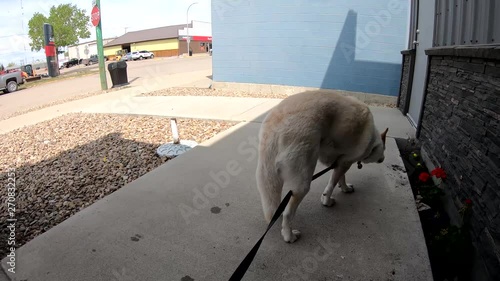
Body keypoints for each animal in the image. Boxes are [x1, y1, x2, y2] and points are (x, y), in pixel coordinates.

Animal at [256, 90, 388, 243]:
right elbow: (332, 184)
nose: (383, 159)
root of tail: (277, 124)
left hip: (268, 175)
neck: (372, 141)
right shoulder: (344, 163)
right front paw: (327, 200)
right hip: (303, 182)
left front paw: (344, 188)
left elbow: (341, 178)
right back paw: (289, 236)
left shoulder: (341, 162)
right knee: (288, 213)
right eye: (384, 150)